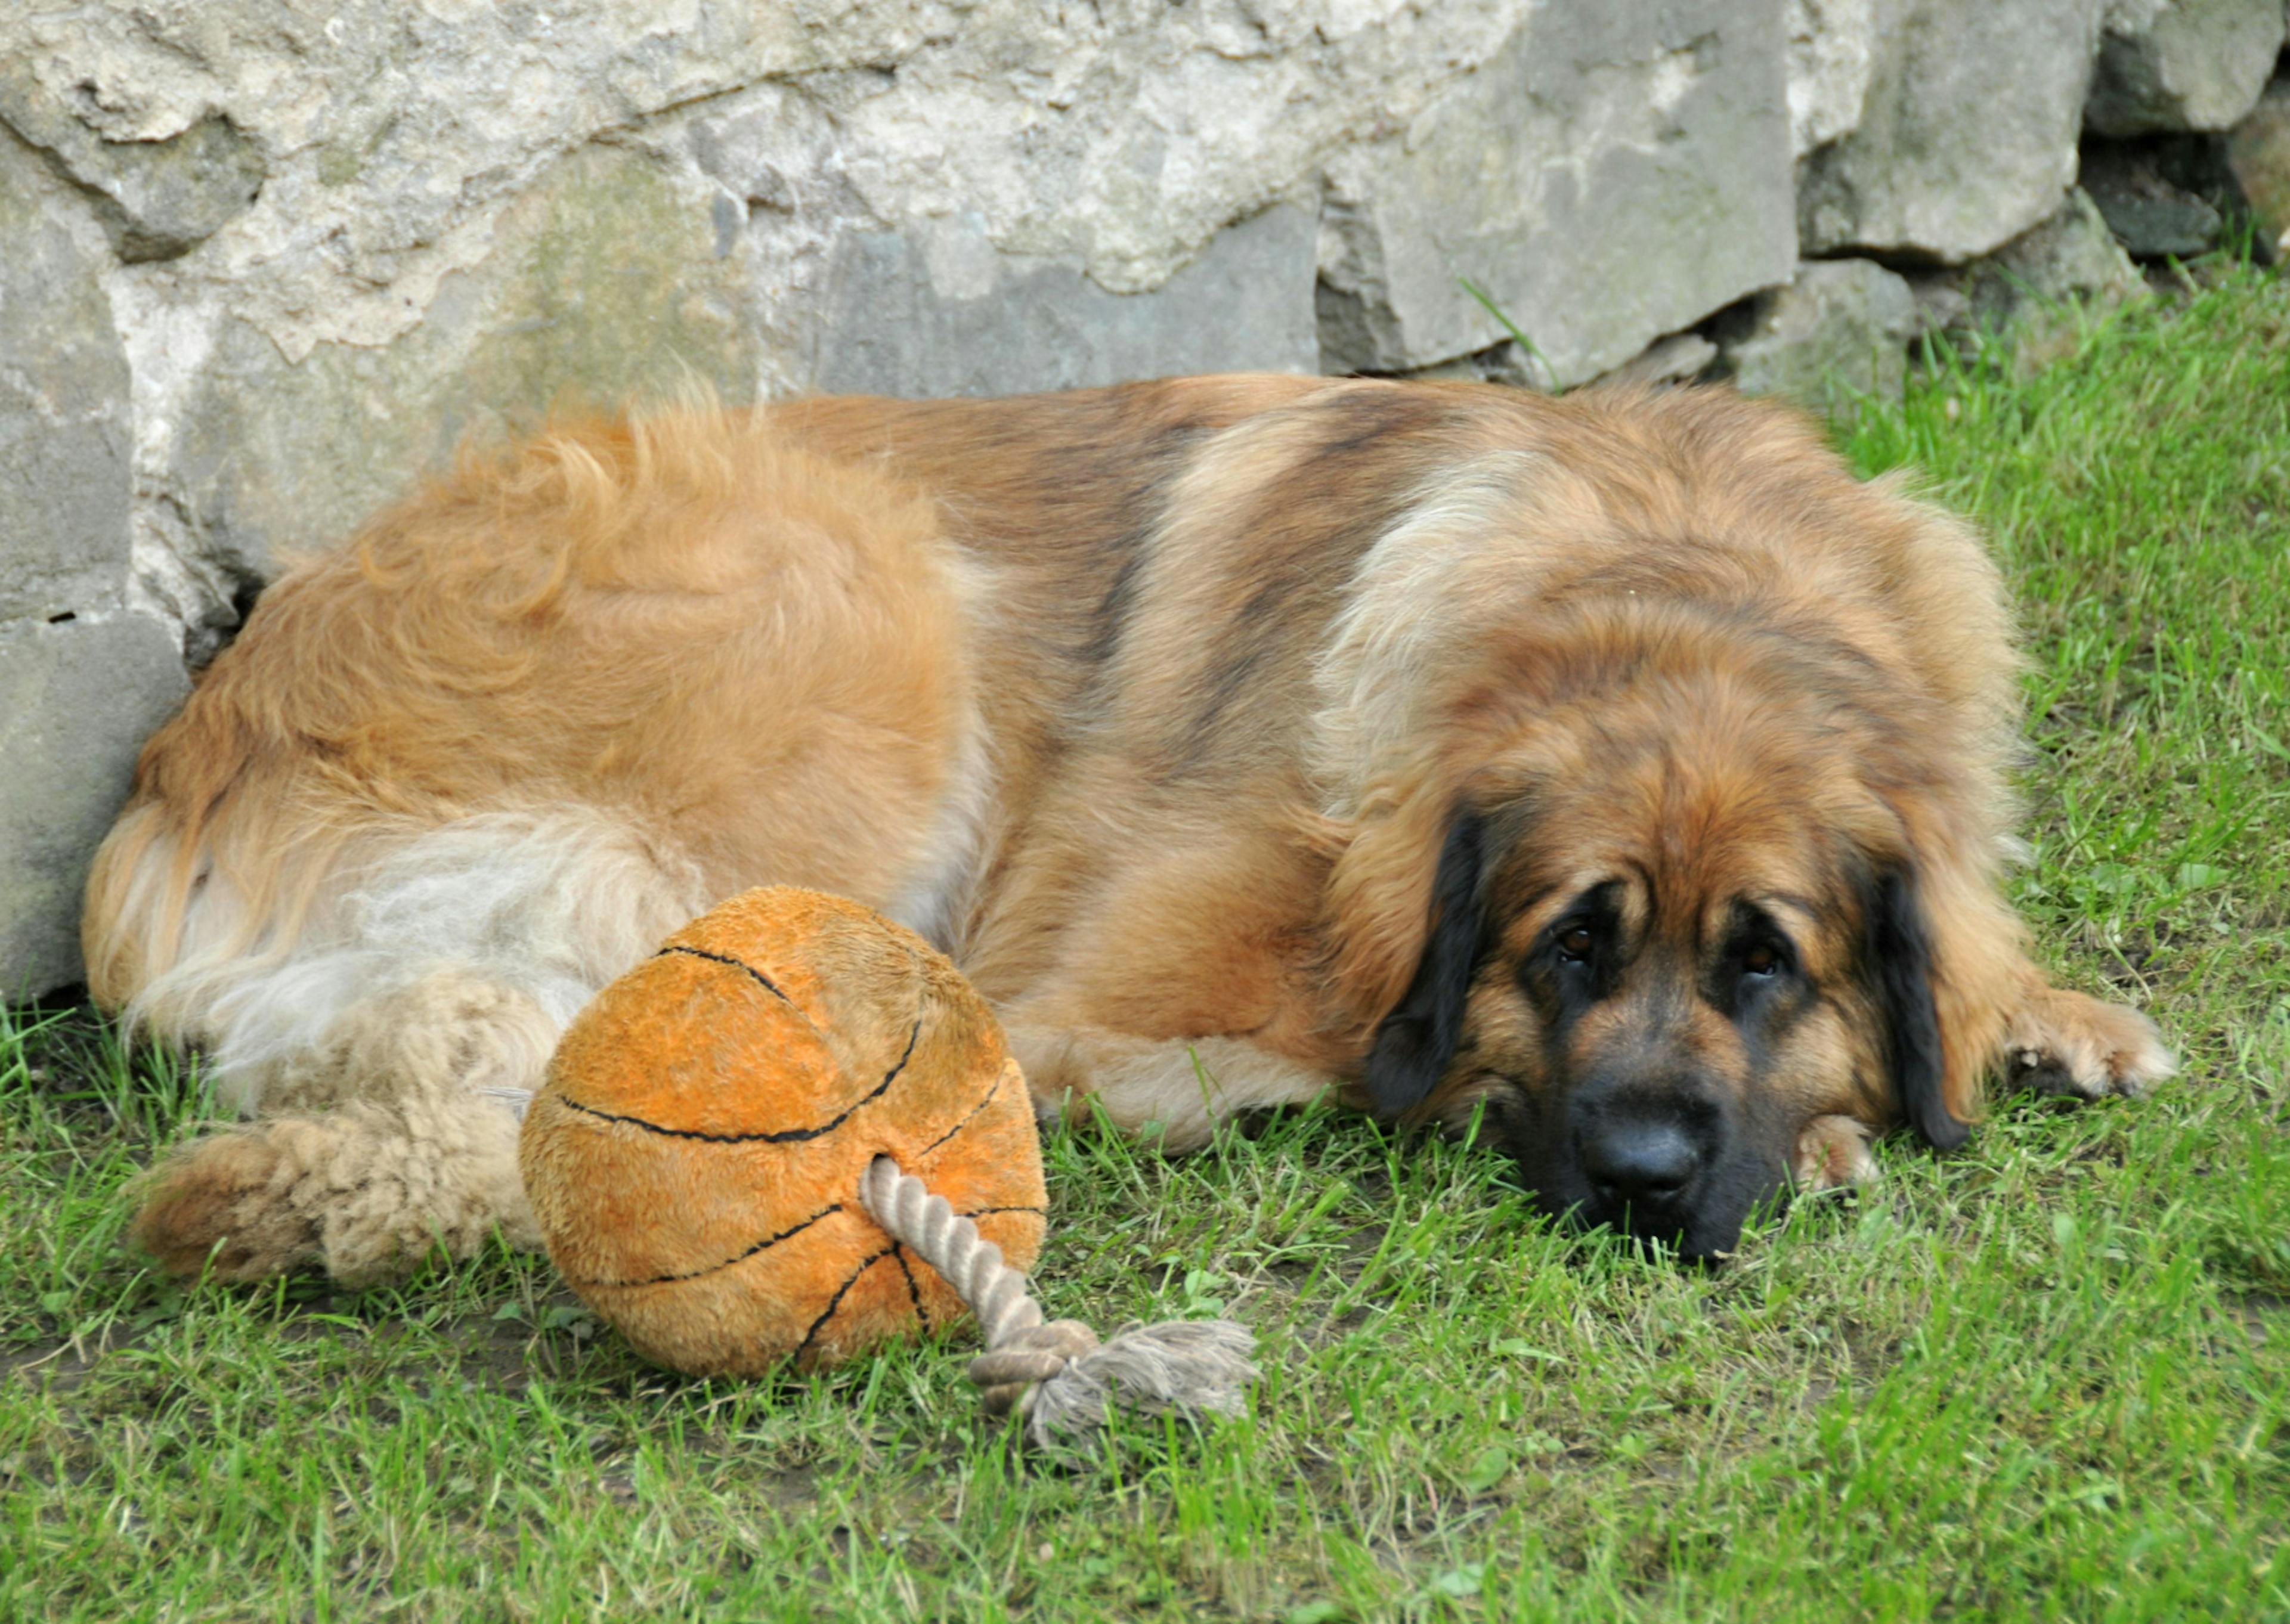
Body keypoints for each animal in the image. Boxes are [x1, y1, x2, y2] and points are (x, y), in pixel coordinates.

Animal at [81, 377, 2171, 1282]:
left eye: (1766, 963)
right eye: (1566, 943)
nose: (1654, 1173)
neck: (1671, 582)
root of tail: (181, 765)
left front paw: (2042, 1017)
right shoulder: (1111, 977)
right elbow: (1363, 1056)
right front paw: (1824, 1139)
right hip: (861, 611)